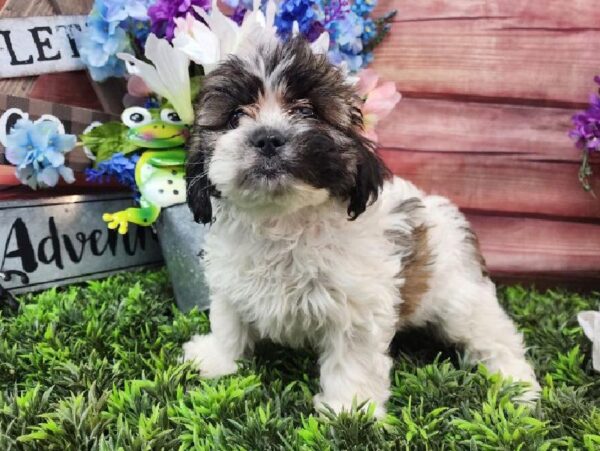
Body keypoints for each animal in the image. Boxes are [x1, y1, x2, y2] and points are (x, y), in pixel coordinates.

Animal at [183, 35, 540, 416]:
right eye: (235, 116)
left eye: (306, 112)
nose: (267, 138)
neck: (281, 218)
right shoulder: (230, 284)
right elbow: (228, 322)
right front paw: (217, 358)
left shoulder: (356, 306)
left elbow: (351, 358)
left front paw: (348, 410)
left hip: (459, 296)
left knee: (494, 335)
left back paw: (517, 386)